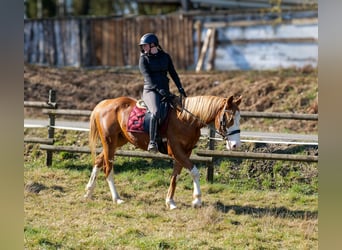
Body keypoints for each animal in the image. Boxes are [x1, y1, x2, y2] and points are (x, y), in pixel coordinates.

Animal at [84, 94, 242, 209]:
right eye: (229, 118)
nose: (235, 145)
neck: (186, 119)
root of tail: (103, 104)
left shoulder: (185, 152)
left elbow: (175, 176)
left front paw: (170, 201)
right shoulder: (176, 151)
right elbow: (194, 172)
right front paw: (197, 200)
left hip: (118, 141)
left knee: (98, 161)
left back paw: (89, 191)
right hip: (109, 143)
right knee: (108, 168)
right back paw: (116, 198)